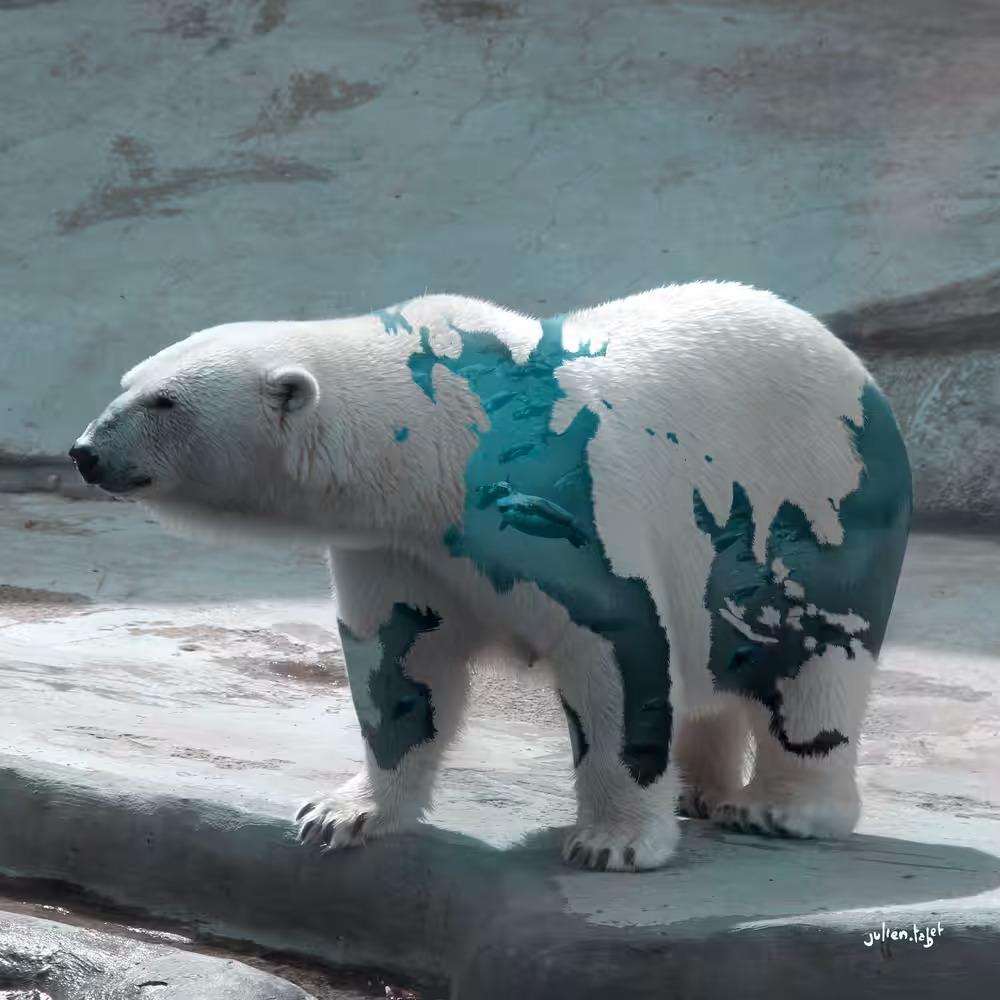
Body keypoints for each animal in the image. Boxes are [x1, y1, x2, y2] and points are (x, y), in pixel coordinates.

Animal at [70, 281, 913, 872]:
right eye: (128, 380)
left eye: (163, 401)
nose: (84, 451)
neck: (449, 438)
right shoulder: (399, 545)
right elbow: (402, 661)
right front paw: (341, 815)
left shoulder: (561, 508)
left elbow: (614, 651)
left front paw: (612, 842)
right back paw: (700, 789)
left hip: (818, 504)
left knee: (811, 665)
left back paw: (780, 808)